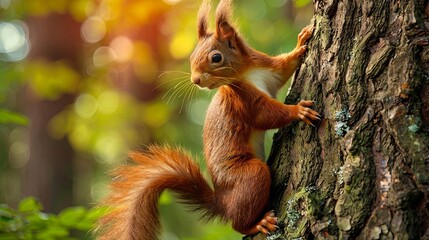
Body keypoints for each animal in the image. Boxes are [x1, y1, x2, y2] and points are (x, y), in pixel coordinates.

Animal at [95, 0, 320, 239]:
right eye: (192, 57)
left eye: (216, 58)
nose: (195, 80)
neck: (245, 73)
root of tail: (221, 202)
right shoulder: (243, 101)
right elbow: (266, 116)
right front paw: (298, 111)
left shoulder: (268, 69)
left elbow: (285, 67)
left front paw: (302, 41)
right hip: (249, 176)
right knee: (237, 221)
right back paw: (257, 224)